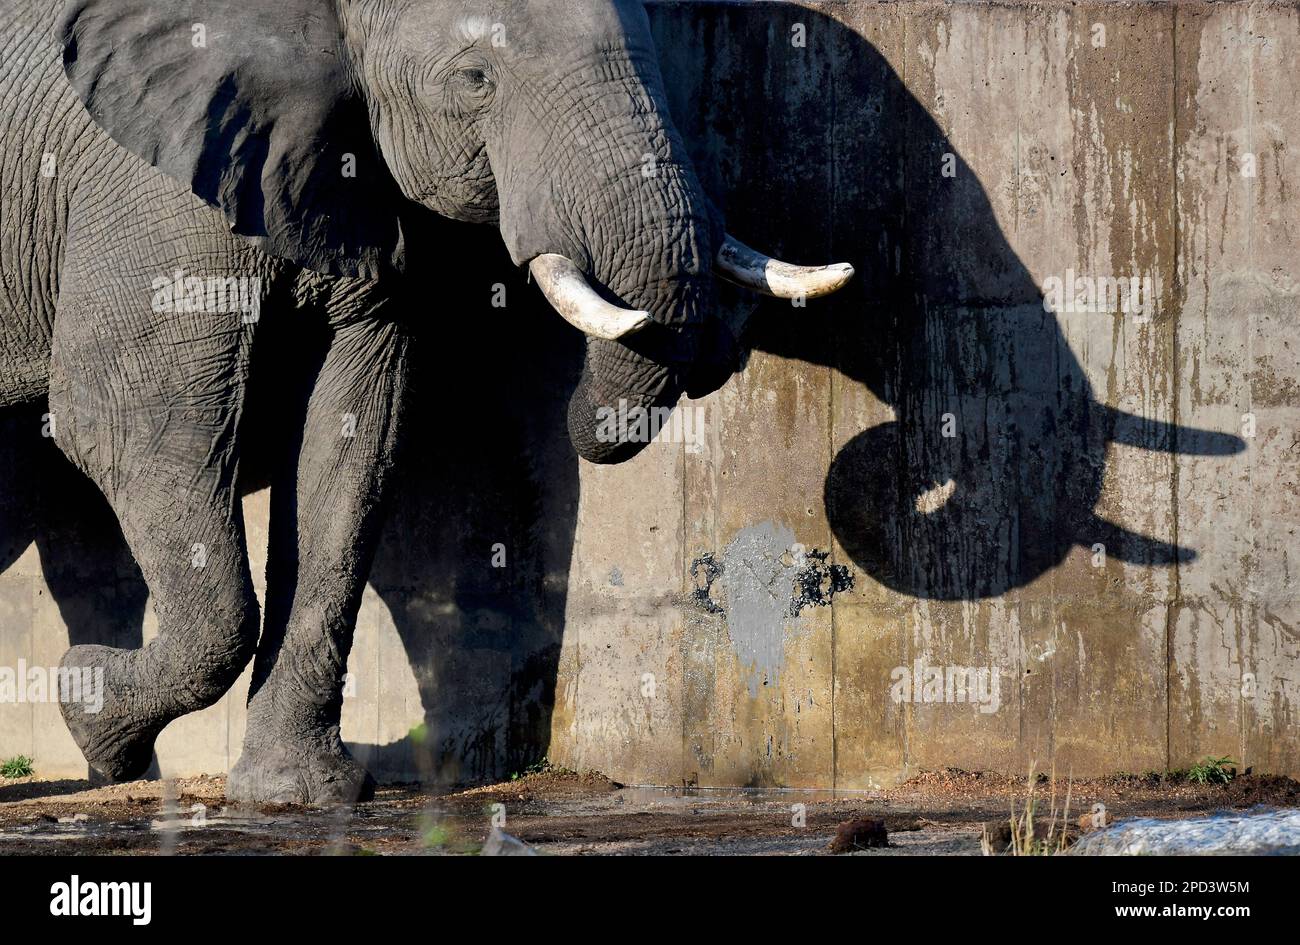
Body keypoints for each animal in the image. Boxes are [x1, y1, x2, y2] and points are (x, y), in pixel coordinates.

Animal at [0, 1, 852, 805]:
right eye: (475, 82)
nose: (719, 352)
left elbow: (351, 434)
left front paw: (301, 794)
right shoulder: (149, 189)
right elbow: (132, 420)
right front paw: (88, 707)